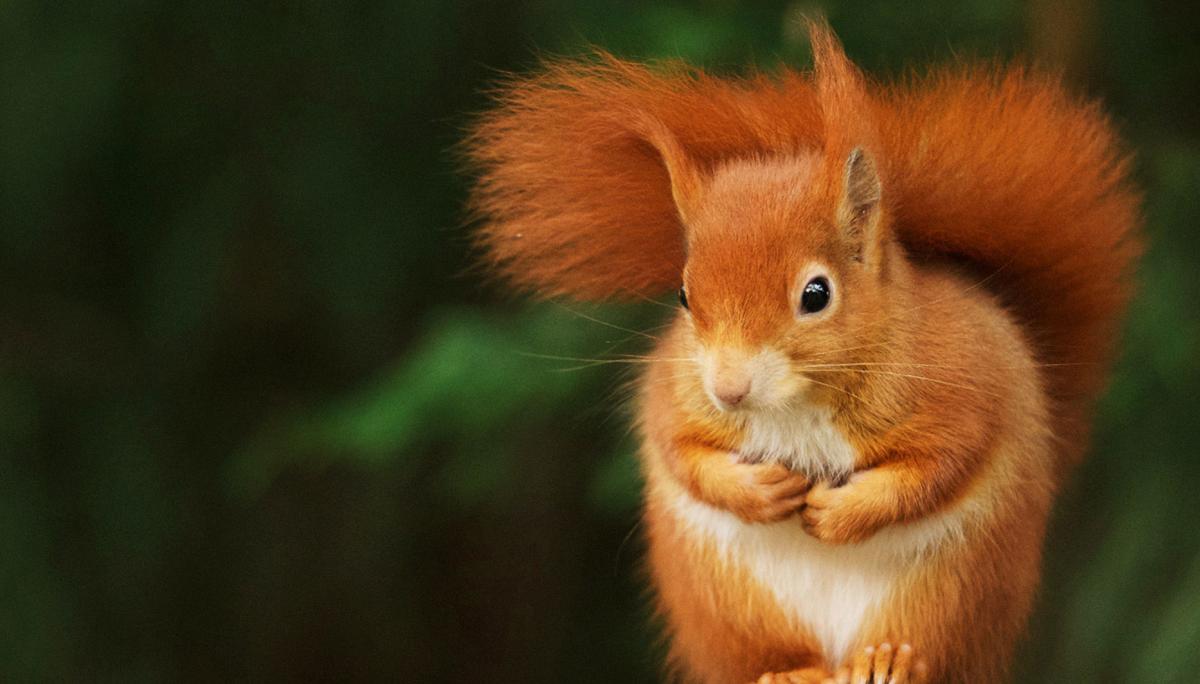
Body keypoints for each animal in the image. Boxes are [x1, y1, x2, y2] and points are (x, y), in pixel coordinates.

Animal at [462, 23, 1141, 684]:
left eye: (817, 294)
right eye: (683, 295)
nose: (728, 390)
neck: (797, 404)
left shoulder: (964, 385)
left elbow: (938, 466)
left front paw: (840, 512)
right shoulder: (674, 395)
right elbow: (681, 452)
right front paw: (757, 490)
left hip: (948, 595)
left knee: (924, 650)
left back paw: (886, 660)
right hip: (728, 602)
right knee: (767, 656)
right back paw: (791, 671)